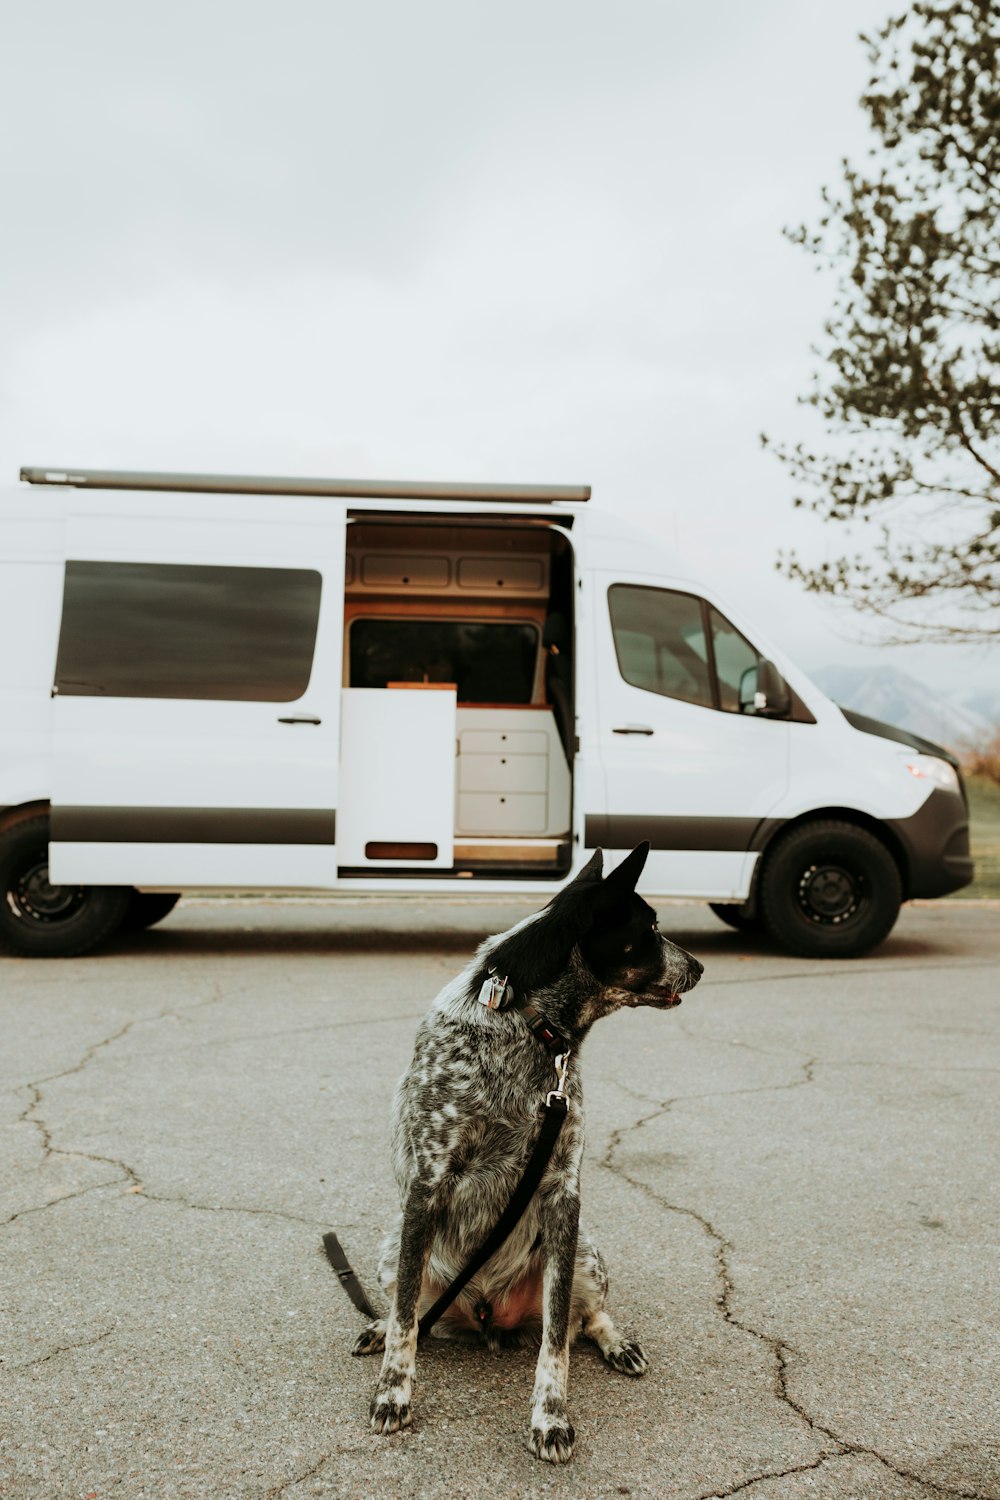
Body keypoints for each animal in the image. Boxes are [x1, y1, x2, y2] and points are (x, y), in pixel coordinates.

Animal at [352, 846, 704, 1464]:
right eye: (652, 929)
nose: (701, 967)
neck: (529, 1024)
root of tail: (487, 1316)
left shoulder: (563, 1192)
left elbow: (557, 1338)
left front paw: (550, 1417)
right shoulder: (427, 1182)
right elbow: (403, 1325)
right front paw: (393, 1393)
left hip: (585, 1250)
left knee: (586, 1317)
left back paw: (618, 1343)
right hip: (394, 1243)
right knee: (409, 1310)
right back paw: (380, 1326)